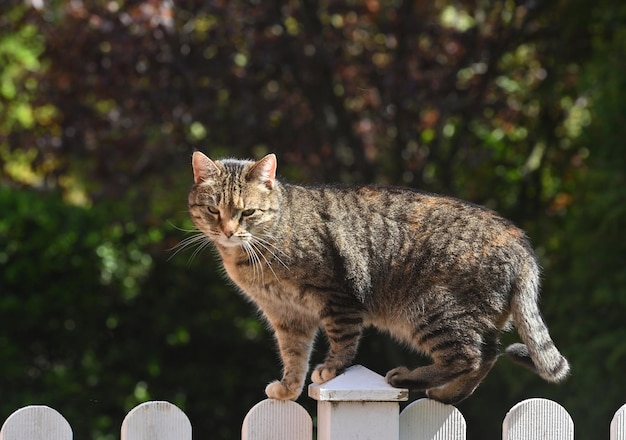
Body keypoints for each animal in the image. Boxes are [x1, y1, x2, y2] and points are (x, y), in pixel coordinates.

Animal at [184, 152, 564, 406]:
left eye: (247, 212)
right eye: (213, 210)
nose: (228, 230)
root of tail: (521, 243)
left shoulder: (338, 297)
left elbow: (342, 341)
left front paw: (331, 369)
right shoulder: (288, 316)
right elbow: (293, 357)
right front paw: (289, 389)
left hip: (431, 311)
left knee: (468, 356)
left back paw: (409, 377)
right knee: (487, 355)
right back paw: (446, 395)